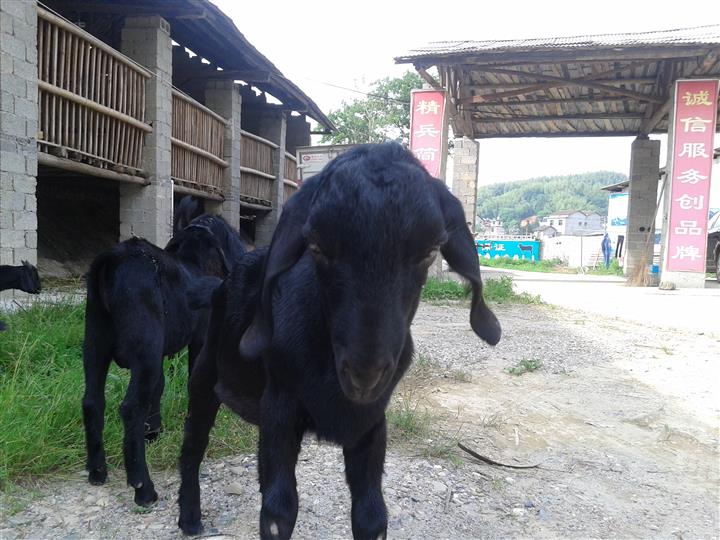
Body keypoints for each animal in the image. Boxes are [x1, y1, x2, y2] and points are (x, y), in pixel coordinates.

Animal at [81, 214, 245, 506]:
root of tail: (112, 259)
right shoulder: (197, 342)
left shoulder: (159, 357)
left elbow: (158, 389)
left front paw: (153, 432)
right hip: (144, 348)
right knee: (131, 407)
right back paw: (143, 488)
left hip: (95, 343)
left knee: (92, 402)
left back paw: (97, 471)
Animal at [177, 143, 500, 540]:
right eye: (315, 246)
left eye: (431, 249)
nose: (365, 375)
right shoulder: (280, 408)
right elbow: (278, 511)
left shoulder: (370, 424)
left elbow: (371, 514)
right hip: (204, 377)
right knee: (193, 445)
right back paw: (189, 516)